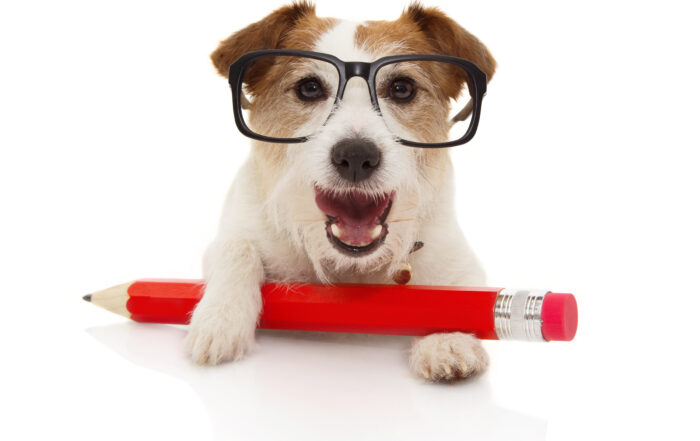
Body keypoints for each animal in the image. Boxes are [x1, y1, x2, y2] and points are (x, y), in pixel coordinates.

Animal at [183, 0, 494, 382]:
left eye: (402, 88)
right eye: (310, 88)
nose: (357, 155)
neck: (350, 267)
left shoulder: (459, 261)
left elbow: (453, 292)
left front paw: (448, 338)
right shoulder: (235, 230)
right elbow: (237, 248)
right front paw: (220, 319)